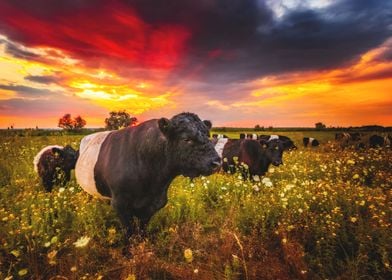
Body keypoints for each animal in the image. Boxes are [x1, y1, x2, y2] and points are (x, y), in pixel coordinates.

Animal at [73, 112, 220, 237]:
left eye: (208, 136)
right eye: (186, 139)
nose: (217, 162)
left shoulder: (153, 205)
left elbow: (141, 231)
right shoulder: (120, 204)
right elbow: (129, 234)